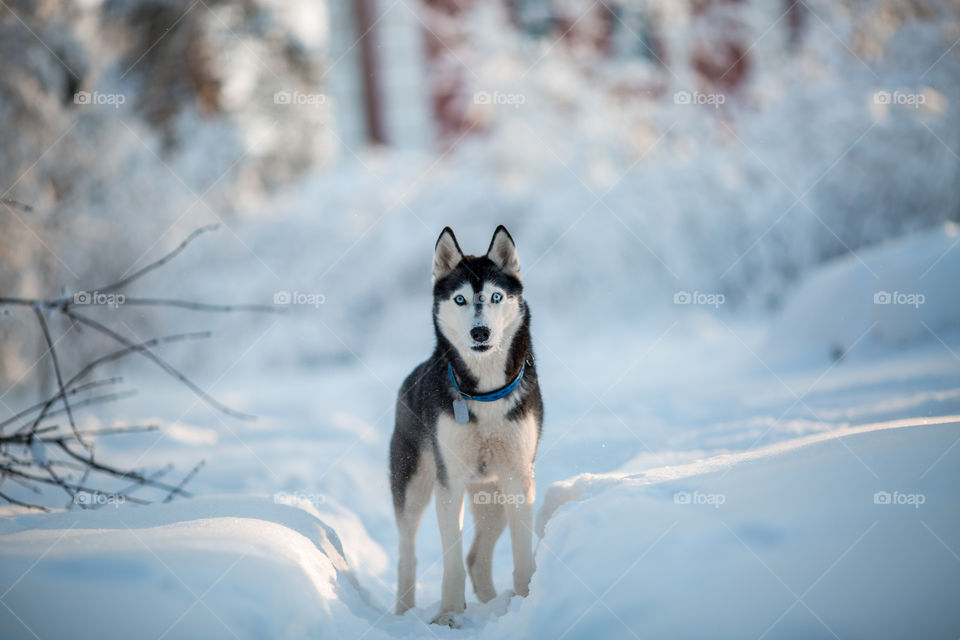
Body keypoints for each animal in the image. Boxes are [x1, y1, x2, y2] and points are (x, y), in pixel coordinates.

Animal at [388, 225, 540, 624]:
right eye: (460, 300)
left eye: (496, 296)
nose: (480, 333)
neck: (484, 394)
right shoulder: (450, 482)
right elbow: (451, 561)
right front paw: (448, 616)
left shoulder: (518, 479)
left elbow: (522, 554)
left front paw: (527, 598)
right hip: (412, 486)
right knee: (408, 553)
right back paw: (403, 612)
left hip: (493, 495)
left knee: (477, 558)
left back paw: (494, 604)